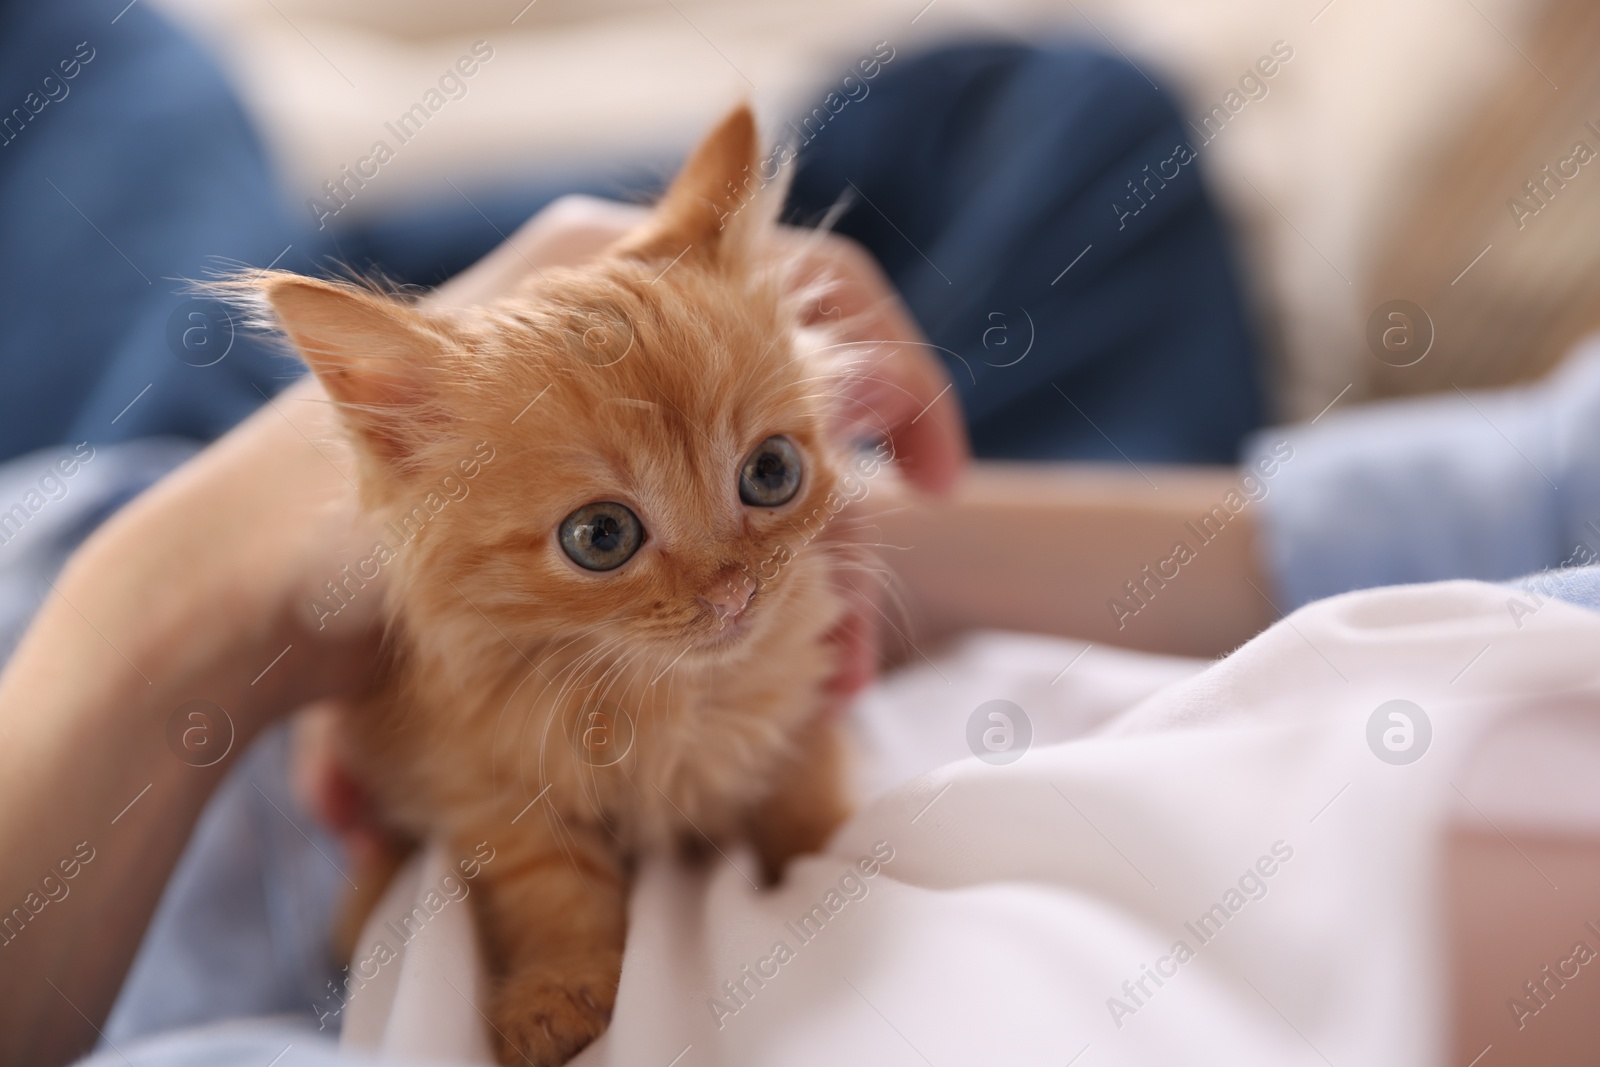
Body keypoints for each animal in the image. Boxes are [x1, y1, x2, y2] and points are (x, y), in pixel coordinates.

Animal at [256, 106, 870, 1062]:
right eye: (600, 536)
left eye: (771, 472)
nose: (734, 592)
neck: (664, 703)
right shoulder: (478, 778)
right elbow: (551, 884)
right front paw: (560, 992)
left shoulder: (800, 703)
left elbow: (805, 797)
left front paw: (819, 857)